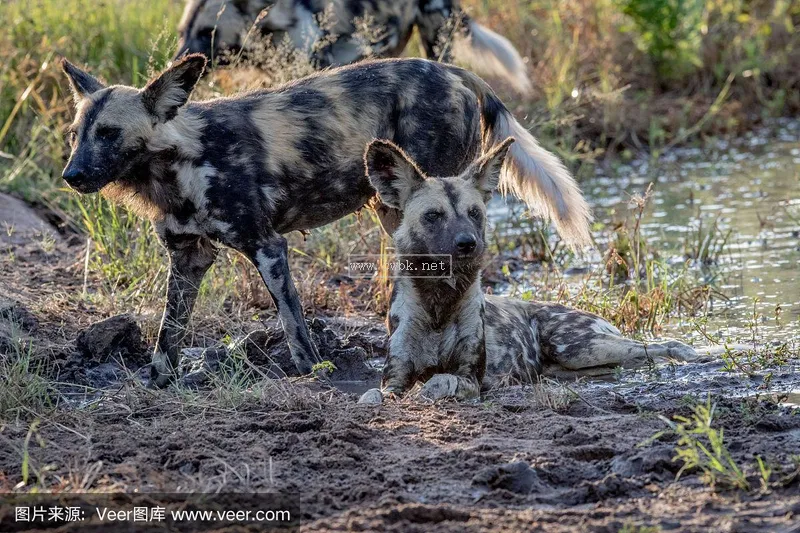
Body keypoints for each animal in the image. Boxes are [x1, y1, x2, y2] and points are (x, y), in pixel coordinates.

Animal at [59, 53, 592, 386]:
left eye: (109, 133)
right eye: (75, 134)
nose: (71, 175)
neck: (178, 164)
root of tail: (458, 72)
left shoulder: (267, 247)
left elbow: (294, 324)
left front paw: (313, 374)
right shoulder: (189, 258)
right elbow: (168, 332)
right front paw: (156, 383)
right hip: (393, 208)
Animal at [360, 137, 696, 404]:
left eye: (474, 213)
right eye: (433, 215)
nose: (468, 243)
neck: (439, 300)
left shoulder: (470, 376)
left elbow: (443, 380)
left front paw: (430, 388)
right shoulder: (395, 376)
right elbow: (374, 394)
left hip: (582, 348)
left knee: (660, 345)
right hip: (576, 362)